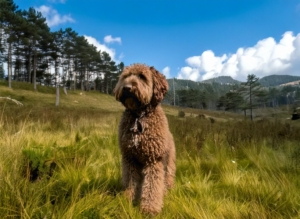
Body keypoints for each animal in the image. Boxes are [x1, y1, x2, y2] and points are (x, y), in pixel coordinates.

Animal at [114, 63, 176, 216]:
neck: (139, 117)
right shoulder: (129, 158)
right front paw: (126, 200)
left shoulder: (154, 160)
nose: (127, 87)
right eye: (125, 76)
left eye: (142, 76)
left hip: (169, 163)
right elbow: (130, 182)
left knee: (166, 179)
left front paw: (150, 208)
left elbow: (153, 186)